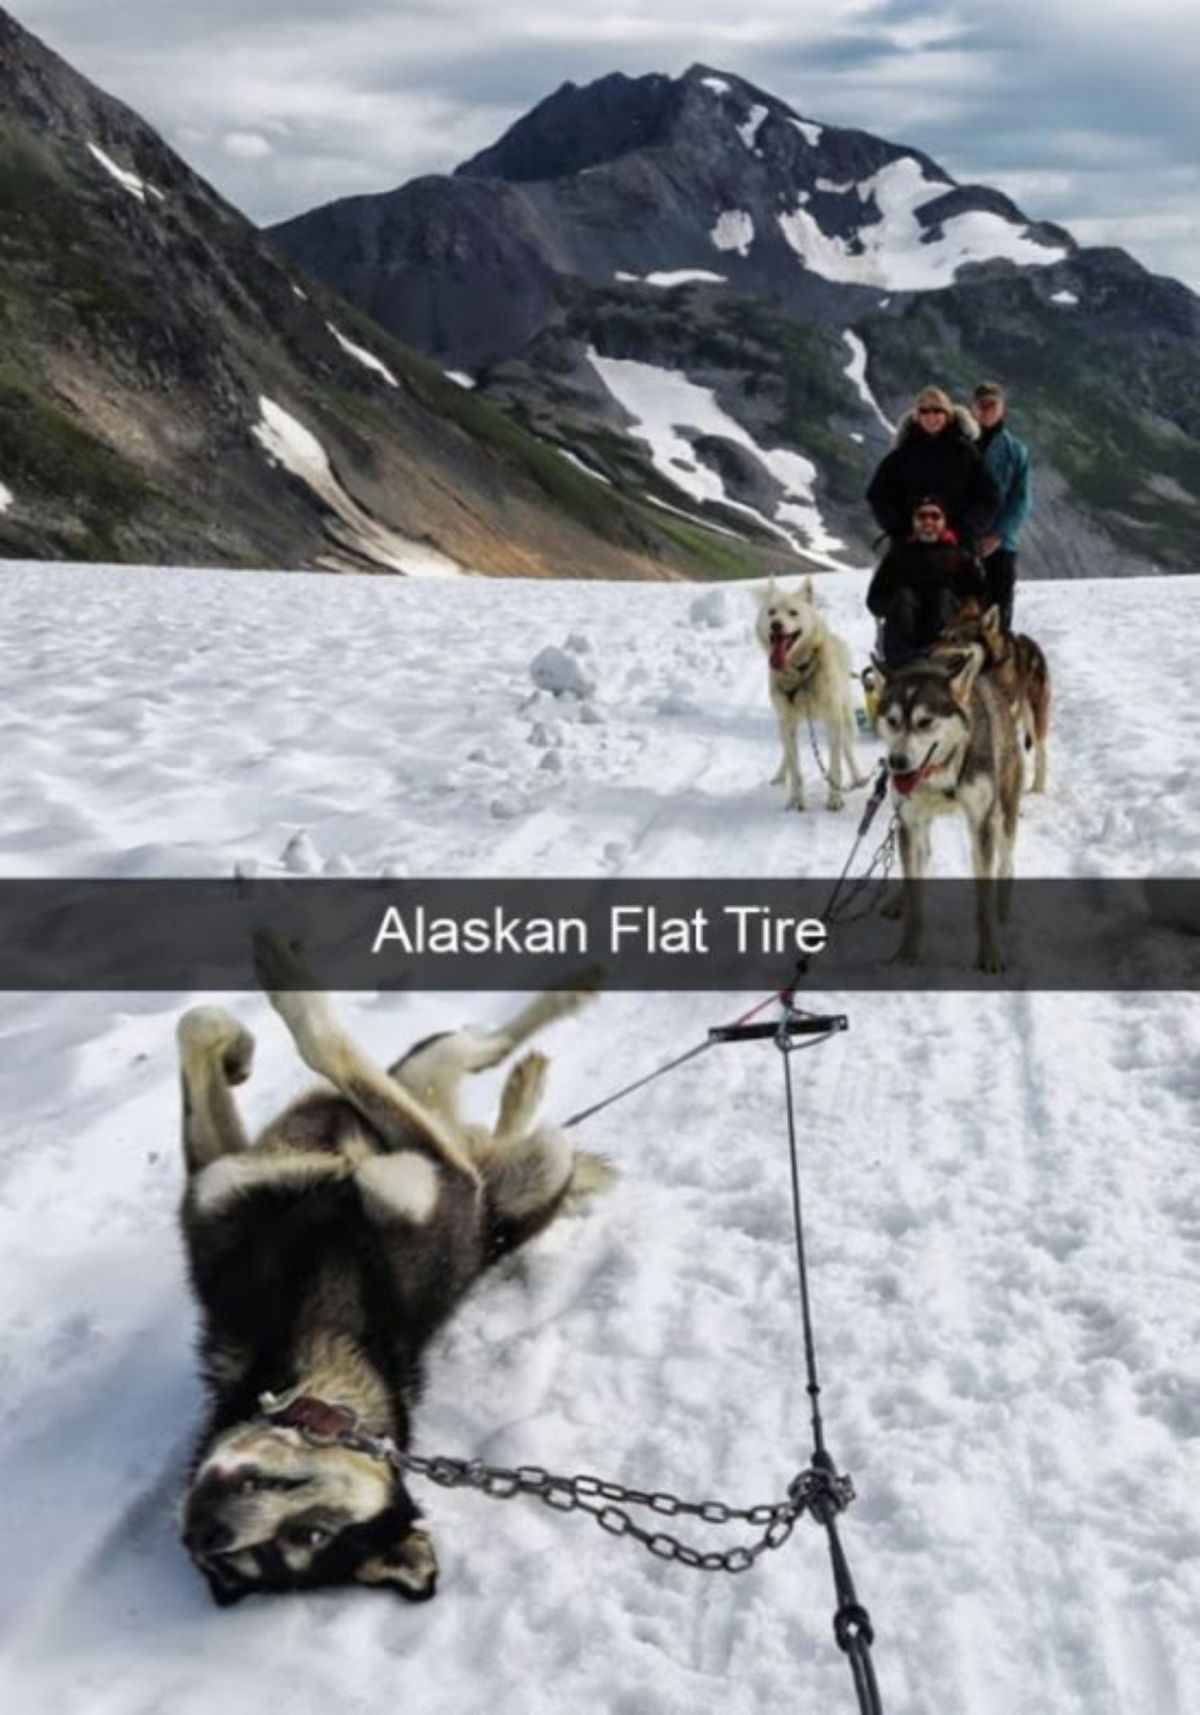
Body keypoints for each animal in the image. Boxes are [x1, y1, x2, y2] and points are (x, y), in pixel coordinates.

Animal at [175, 932, 617, 1598]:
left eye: (309, 1535)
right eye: (247, 1560)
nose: (206, 1532)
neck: (315, 1322)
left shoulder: (440, 1178)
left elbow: (322, 1042)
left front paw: (281, 995)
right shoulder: (220, 1183)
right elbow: (199, 1027)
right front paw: (237, 1049)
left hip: (531, 1157)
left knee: (476, 1064)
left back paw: (559, 1017)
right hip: (462, 1107)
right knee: (473, 1068)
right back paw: (527, 1081)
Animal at [754, 576, 867, 809]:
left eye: (793, 613)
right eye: (771, 612)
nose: (776, 624)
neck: (801, 672)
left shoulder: (834, 719)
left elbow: (835, 765)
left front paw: (835, 799)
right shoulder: (787, 721)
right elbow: (795, 767)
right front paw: (796, 800)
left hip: (845, 716)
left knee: (847, 749)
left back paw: (858, 777)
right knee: (787, 753)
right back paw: (780, 776)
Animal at [870, 648, 1021, 974]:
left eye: (925, 721)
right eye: (892, 720)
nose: (897, 762)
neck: (939, 775)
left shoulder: (982, 823)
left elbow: (983, 903)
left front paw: (990, 953)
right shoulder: (909, 822)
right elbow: (915, 898)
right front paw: (907, 951)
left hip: (1004, 816)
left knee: (1006, 863)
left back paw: (1003, 907)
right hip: (917, 825)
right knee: (922, 855)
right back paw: (899, 900)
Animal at [939, 600, 1049, 792]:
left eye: (954, 639)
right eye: (941, 636)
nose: (924, 652)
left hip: (1034, 715)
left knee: (1040, 751)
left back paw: (1038, 786)